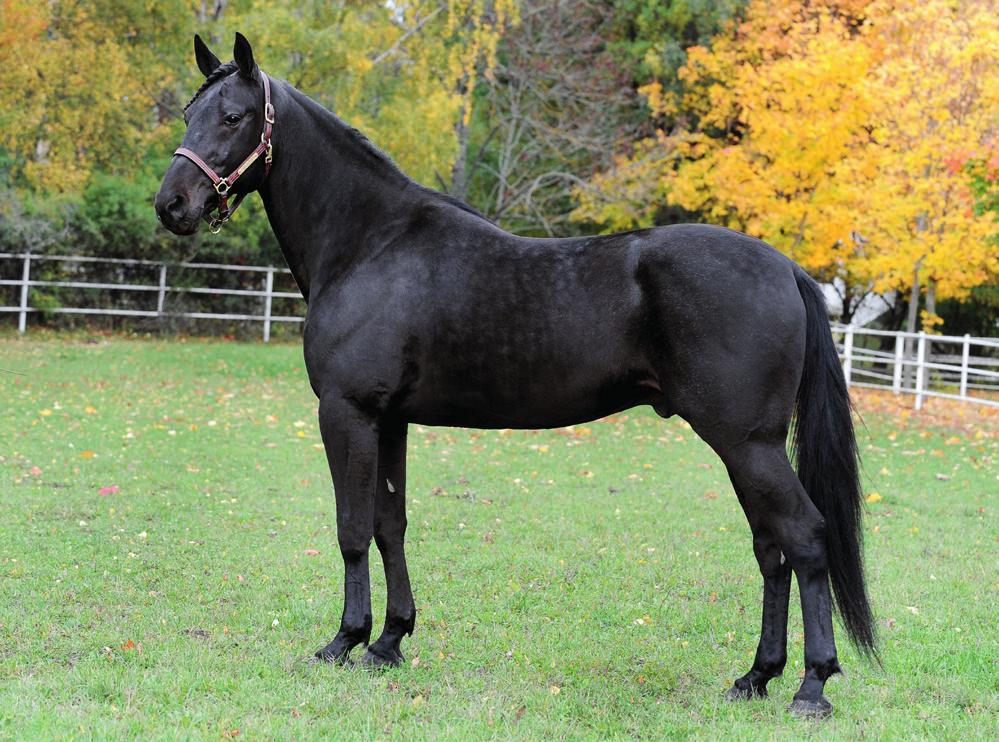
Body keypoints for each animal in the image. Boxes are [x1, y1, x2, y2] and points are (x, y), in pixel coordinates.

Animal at [154, 36, 876, 720]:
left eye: (234, 116)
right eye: (189, 113)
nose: (172, 205)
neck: (371, 244)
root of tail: (786, 268)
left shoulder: (347, 412)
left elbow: (352, 528)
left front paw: (344, 641)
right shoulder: (391, 420)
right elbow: (391, 524)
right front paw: (390, 641)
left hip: (747, 443)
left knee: (803, 538)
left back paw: (811, 686)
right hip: (744, 448)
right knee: (770, 548)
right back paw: (755, 677)